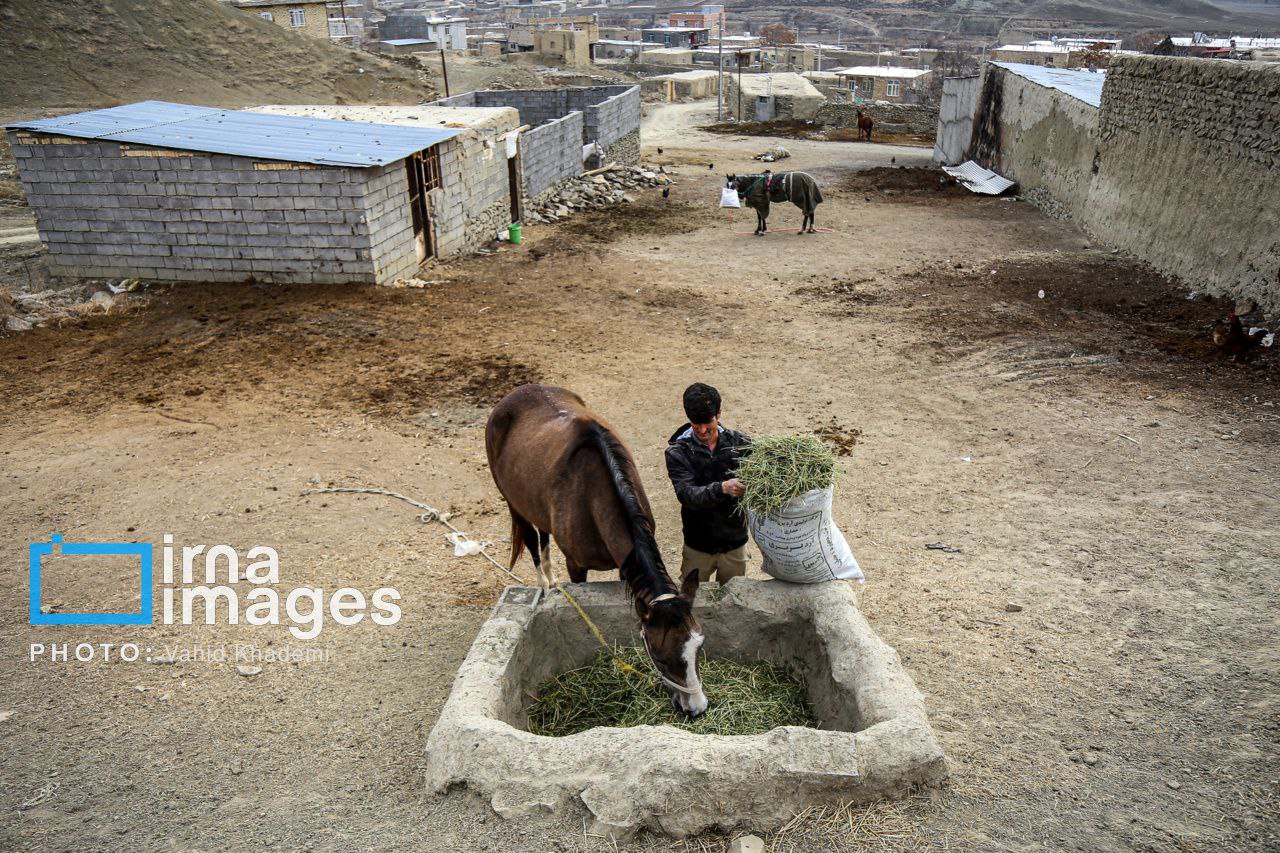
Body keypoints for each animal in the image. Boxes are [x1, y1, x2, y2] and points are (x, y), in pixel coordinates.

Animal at [486, 381, 711, 712]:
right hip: (515, 504)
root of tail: (519, 392)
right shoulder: (576, 566)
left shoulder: (625, 565)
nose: (696, 708)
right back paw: (544, 585)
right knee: (531, 539)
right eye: (659, 657)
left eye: (698, 645)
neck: (594, 497)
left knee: (544, 535)